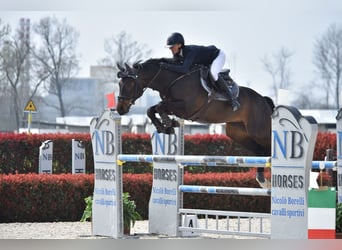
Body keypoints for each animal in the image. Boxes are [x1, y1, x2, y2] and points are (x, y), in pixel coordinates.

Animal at [116, 58, 274, 188]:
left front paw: (168, 123)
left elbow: (160, 106)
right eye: (119, 83)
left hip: (259, 132)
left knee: (266, 148)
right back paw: (262, 180)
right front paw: (165, 127)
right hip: (237, 133)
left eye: (129, 84)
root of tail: (263, 99)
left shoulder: (186, 108)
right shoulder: (173, 105)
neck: (171, 80)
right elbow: (152, 109)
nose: (120, 109)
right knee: (260, 152)